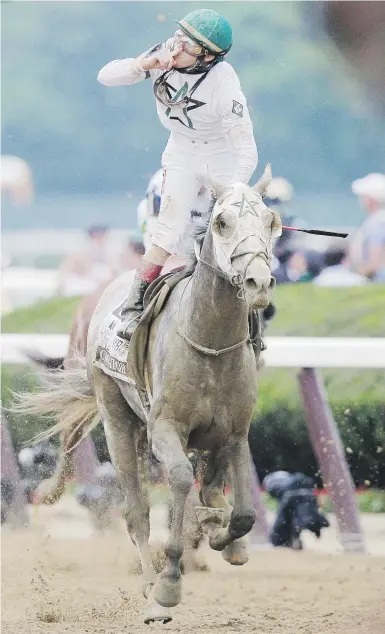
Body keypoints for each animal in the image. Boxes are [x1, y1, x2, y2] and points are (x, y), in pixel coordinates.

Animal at [15, 165, 280, 620]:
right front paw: (171, 581)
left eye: (269, 222)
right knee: (135, 509)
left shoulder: (234, 432)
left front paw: (223, 534)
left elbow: (242, 511)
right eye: (222, 222)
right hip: (117, 418)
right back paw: (149, 584)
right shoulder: (165, 428)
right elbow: (179, 485)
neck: (208, 341)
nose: (258, 282)